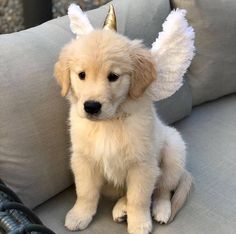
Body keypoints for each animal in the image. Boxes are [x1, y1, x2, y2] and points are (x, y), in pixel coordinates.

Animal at [54, 29, 192, 234]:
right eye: (81, 75)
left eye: (113, 76)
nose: (91, 106)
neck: (109, 122)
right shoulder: (83, 159)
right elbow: (86, 192)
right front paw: (79, 215)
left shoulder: (142, 164)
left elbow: (139, 197)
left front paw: (139, 223)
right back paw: (121, 208)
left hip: (174, 152)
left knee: (162, 189)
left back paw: (161, 209)